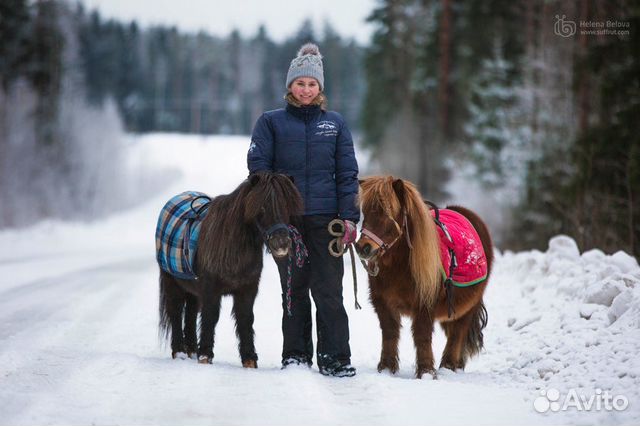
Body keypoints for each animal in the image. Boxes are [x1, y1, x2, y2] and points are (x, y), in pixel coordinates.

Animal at [159, 172, 302, 366]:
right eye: (261, 207)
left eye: (286, 205)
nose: (281, 243)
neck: (231, 244)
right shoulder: (211, 290)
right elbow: (210, 317)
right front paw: (205, 356)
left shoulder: (247, 290)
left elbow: (245, 319)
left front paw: (249, 359)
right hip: (172, 284)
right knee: (175, 311)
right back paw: (179, 352)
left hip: (193, 290)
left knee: (190, 314)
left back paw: (191, 351)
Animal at [356, 176, 496, 380]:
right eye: (364, 212)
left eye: (387, 214)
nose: (363, 248)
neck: (399, 267)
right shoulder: (383, 303)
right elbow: (389, 333)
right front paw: (386, 369)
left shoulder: (424, 305)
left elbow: (422, 336)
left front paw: (426, 372)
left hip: (468, 306)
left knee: (458, 332)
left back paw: (448, 366)